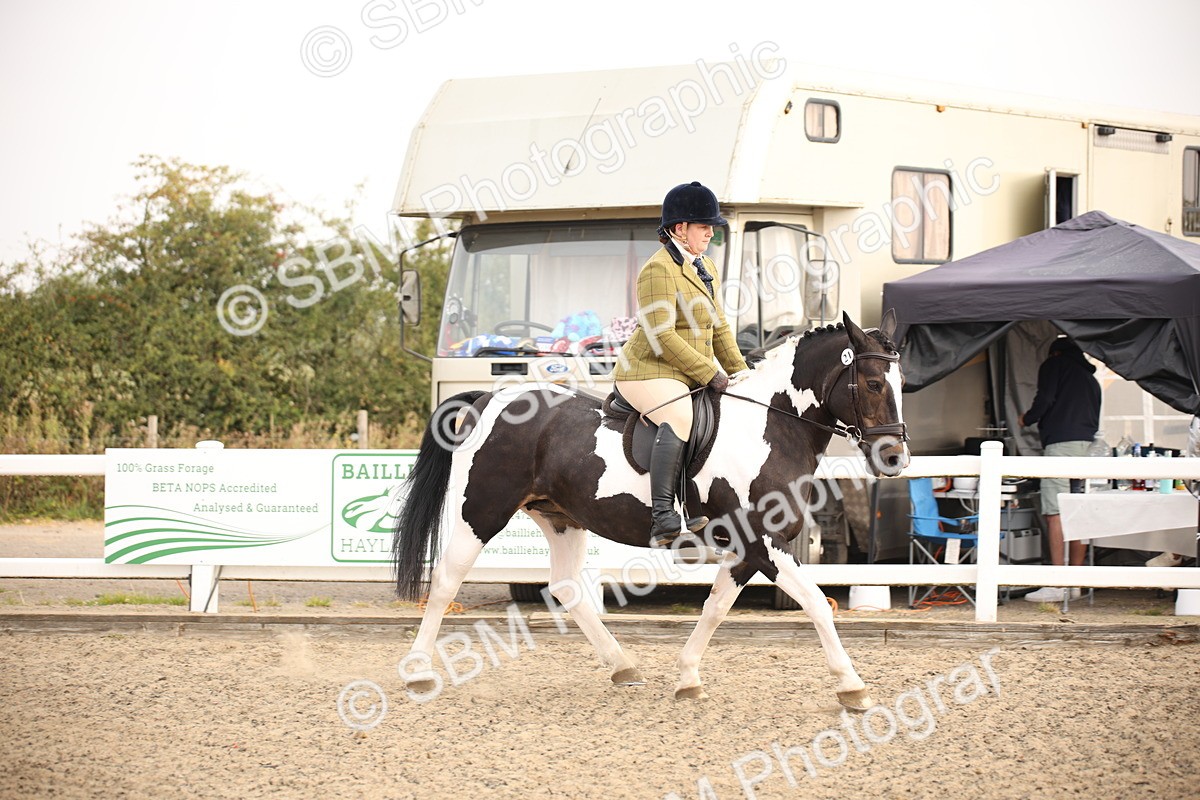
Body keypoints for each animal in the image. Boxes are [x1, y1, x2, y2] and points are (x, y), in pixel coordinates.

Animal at [392, 311, 909, 710]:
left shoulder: (747, 549)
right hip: (481, 511)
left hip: (560, 518)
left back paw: (623, 666)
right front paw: (853, 687)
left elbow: (715, 607)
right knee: (445, 581)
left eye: (902, 383)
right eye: (872, 383)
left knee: (566, 588)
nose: (895, 459)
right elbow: (817, 604)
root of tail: (490, 398)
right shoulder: (764, 540)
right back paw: (417, 672)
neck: (771, 427)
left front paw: (687, 678)